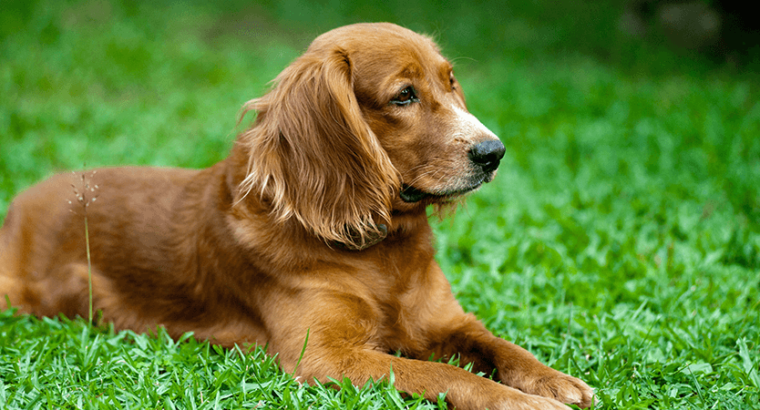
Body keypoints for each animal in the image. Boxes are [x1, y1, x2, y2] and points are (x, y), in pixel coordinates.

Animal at [0, 23, 592, 410]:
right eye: (403, 96)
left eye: (450, 83)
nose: (494, 152)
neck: (381, 249)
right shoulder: (326, 358)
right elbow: (443, 373)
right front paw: (527, 404)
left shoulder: (447, 321)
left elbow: (500, 345)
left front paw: (553, 380)